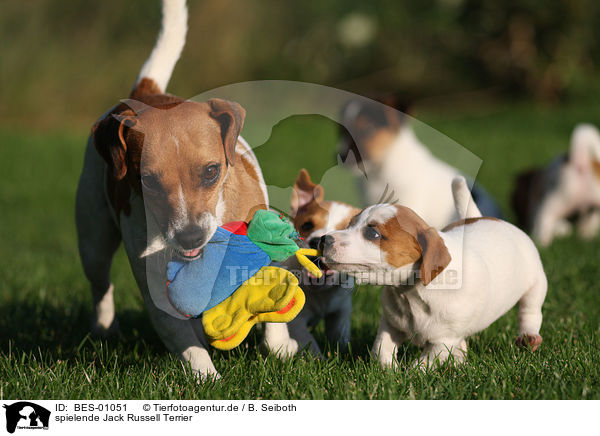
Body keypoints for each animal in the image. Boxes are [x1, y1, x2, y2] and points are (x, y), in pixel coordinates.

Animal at [75, 0, 300, 380]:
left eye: (211, 172)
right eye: (148, 180)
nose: (190, 237)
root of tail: (146, 93)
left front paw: (284, 348)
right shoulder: (156, 291)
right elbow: (184, 340)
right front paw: (207, 377)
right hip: (92, 236)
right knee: (100, 284)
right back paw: (105, 329)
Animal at [288, 169, 360, 356]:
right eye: (307, 225)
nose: (316, 241)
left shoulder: (341, 310)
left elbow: (340, 337)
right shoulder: (297, 320)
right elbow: (308, 341)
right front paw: (318, 358)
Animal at [322, 175, 548, 370]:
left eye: (372, 233)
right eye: (349, 224)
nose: (324, 239)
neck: (411, 294)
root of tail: (484, 218)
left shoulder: (443, 342)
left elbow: (423, 364)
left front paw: (409, 375)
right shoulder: (390, 325)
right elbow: (380, 350)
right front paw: (388, 372)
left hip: (536, 284)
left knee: (530, 312)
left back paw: (529, 336)